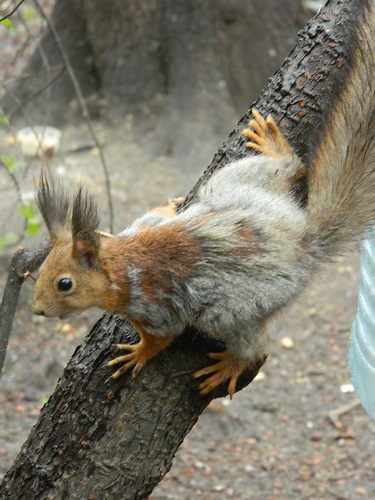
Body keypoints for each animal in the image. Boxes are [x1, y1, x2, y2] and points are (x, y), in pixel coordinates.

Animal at [32, 110, 375, 398]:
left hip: (230, 311)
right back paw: (277, 150)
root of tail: (302, 242)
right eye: (42, 268)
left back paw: (231, 365)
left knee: (255, 347)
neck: (121, 261)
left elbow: (161, 337)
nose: (37, 310)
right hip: (230, 187)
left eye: (65, 284)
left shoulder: (154, 309)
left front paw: (137, 354)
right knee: (291, 167)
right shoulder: (142, 226)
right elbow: (158, 215)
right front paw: (170, 204)